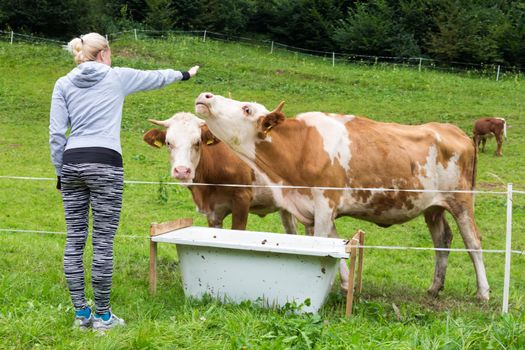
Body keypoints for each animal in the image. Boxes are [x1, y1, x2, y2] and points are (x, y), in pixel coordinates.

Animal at [194, 93, 490, 300]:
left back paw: (483, 292)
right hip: (433, 206)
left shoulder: (326, 202)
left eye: (247, 109)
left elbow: (323, 242)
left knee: (473, 242)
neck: (300, 149)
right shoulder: (312, 210)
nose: (206, 96)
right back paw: (434, 287)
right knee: (442, 240)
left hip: (462, 200)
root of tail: (454, 130)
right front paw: (347, 285)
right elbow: (334, 244)